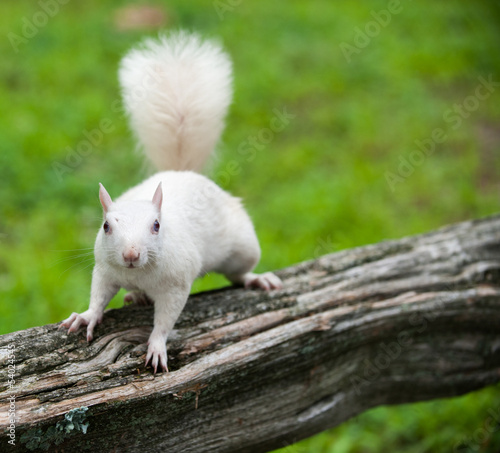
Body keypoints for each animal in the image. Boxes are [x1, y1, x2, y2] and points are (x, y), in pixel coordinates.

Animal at [59, 30, 282, 370]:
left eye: (156, 225)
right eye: (106, 226)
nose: (131, 254)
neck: (137, 273)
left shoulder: (176, 285)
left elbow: (165, 319)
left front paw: (156, 346)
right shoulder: (105, 269)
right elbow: (98, 296)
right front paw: (85, 317)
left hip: (243, 248)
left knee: (238, 273)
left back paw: (257, 279)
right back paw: (135, 296)